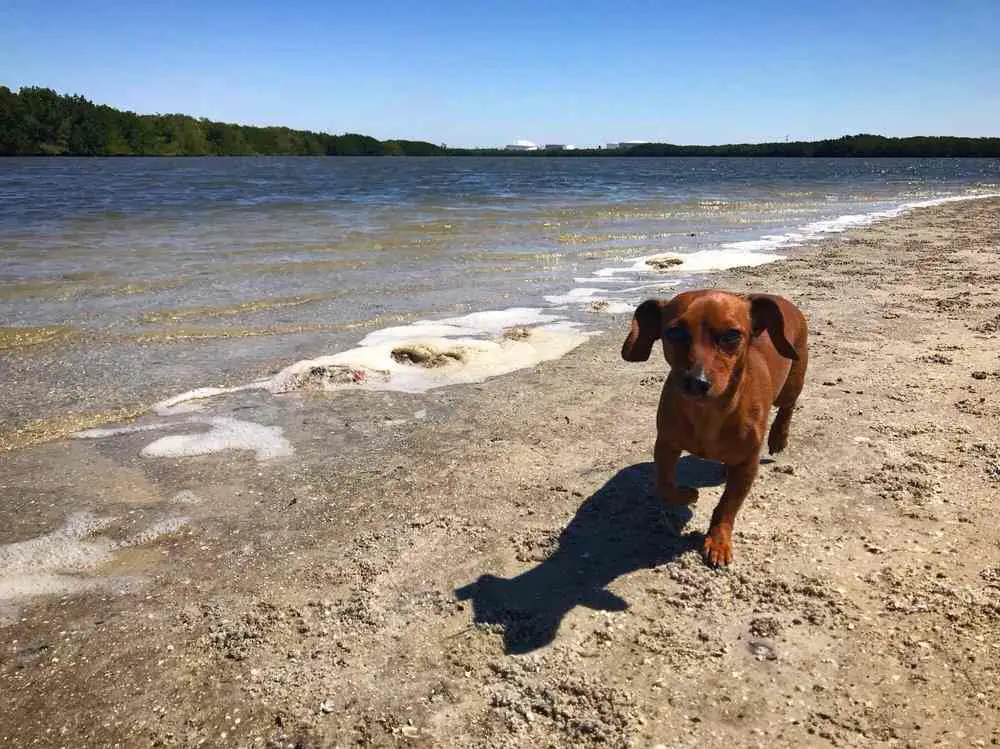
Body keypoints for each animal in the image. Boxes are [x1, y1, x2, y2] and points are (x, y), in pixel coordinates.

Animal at [620, 290, 808, 564]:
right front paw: (687, 495)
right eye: (674, 333)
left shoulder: (747, 465)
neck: (708, 413)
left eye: (731, 335)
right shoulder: (665, 444)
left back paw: (778, 437)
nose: (696, 382)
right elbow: (664, 486)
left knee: (788, 406)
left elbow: (728, 505)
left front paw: (718, 541)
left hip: (792, 381)